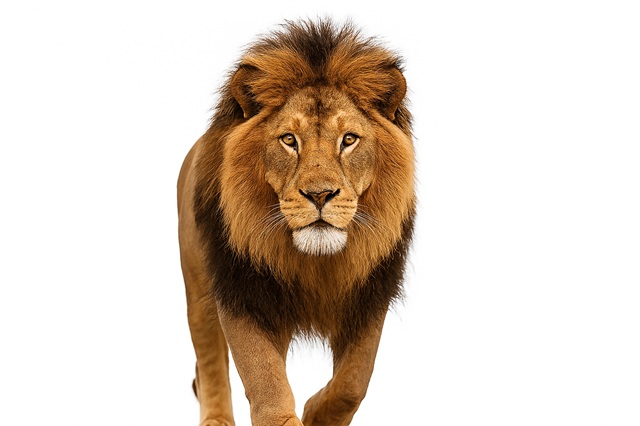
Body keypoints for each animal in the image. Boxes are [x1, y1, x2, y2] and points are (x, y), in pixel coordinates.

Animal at [177, 20, 415, 426]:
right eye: (289, 139)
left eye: (348, 139)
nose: (320, 195)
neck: (313, 263)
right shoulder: (240, 289)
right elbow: (266, 382)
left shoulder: (370, 294)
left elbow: (353, 381)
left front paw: (314, 413)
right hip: (198, 288)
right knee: (209, 359)